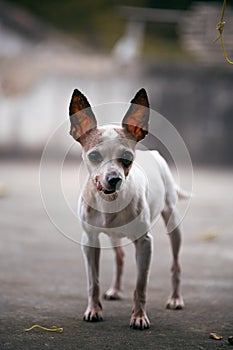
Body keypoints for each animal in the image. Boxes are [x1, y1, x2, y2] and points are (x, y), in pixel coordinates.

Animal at [68, 89, 185, 330]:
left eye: (127, 158)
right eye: (94, 156)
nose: (114, 179)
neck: (109, 201)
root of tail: (152, 153)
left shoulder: (145, 243)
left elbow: (141, 286)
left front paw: (139, 317)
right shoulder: (89, 241)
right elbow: (93, 282)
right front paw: (94, 310)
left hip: (174, 225)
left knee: (176, 265)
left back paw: (176, 299)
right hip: (114, 237)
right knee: (120, 257)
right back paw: (115, 290)